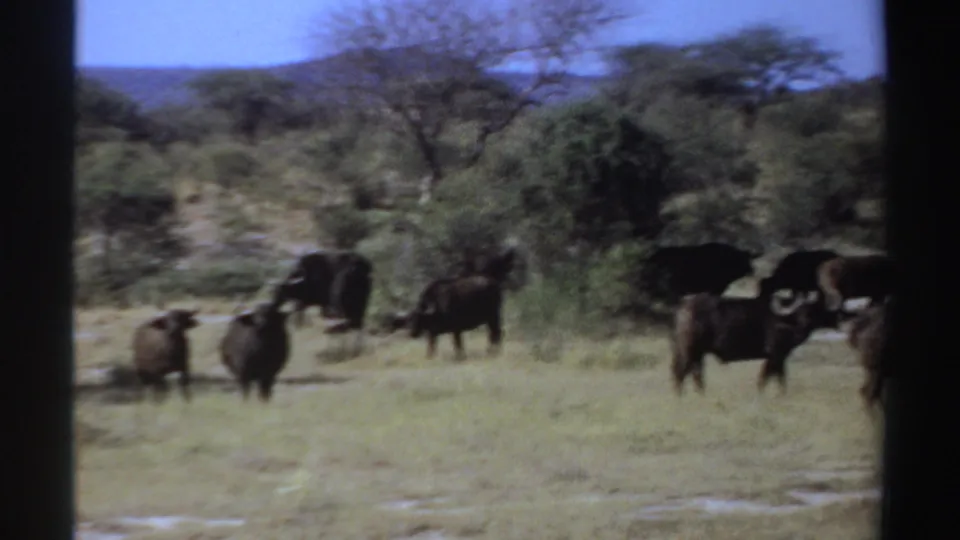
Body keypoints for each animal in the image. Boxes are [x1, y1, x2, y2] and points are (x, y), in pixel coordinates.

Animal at [671, 290, 829, 395]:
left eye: (812, 310)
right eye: (800, 310)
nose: (806, 322)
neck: (786, 320)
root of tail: (685, 305)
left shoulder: (778, 357)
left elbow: (776, 377)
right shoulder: (776, 355)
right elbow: (769, 378)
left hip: (696, 353)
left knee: (693, 374)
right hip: (690, 351)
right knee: (682, 373)